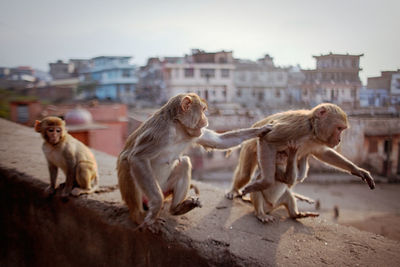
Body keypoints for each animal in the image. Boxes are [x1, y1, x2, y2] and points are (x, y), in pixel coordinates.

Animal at [116, 92, 272, 232]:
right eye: (202, 110)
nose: (206, 120)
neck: (178, 127)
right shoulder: (160, 133)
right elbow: (137, 157)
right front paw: (156, 208)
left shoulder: (194, 133)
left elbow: (219, 141)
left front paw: (261, 130)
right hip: (148, 193)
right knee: (127, 163)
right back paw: (138, 215)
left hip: (166, 189)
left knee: (185, 162)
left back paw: (177, 208)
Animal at [227, 103, 376, 199]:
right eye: (339, 128)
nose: (339, 140)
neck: (312, 129)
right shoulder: (296, 128)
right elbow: (267, 140)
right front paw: (265, 183)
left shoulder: (316, 141)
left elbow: (323, 153)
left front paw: (357, 170)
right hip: (249, 147)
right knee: (245, 174)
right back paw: (234, 190)